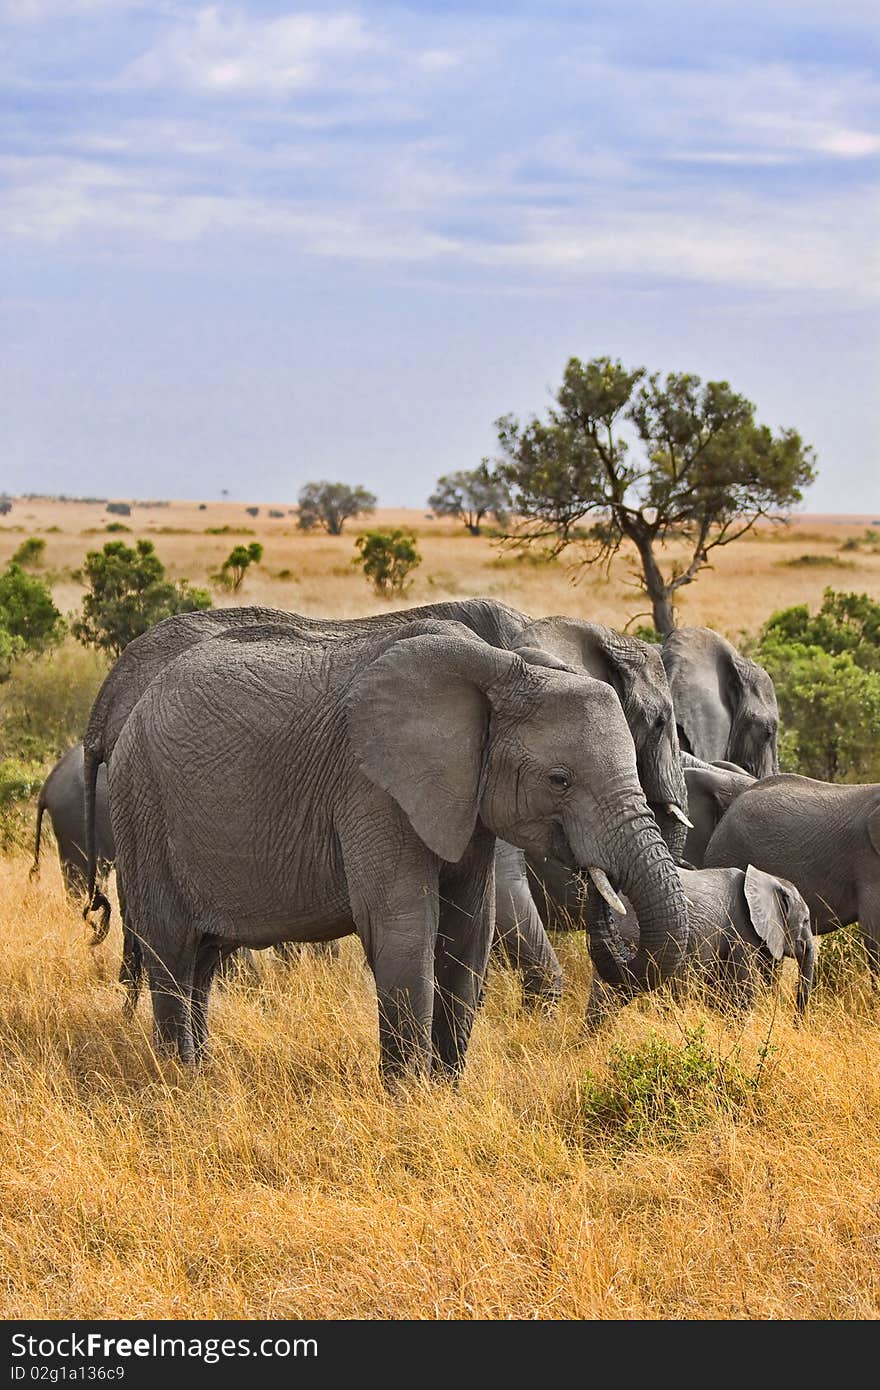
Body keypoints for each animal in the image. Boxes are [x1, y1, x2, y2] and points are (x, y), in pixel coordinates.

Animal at [108, 622, 686, 1084]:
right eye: (559, 780)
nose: (600, 888)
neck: (501, 669)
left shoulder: (465, 803)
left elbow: (468, 929)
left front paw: (446, 1093)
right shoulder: (372, 789)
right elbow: (405, 926)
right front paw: (409, 1102)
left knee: (204, 959)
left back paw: (201, 1072)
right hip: (142, 806)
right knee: (172, 951)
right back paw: (180, 1080)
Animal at [586, 856, 811, 1034]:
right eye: (806, 921)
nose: (796, 1026)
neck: (768, 879)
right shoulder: (741, 931)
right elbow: (741, 992)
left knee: (606, 999)